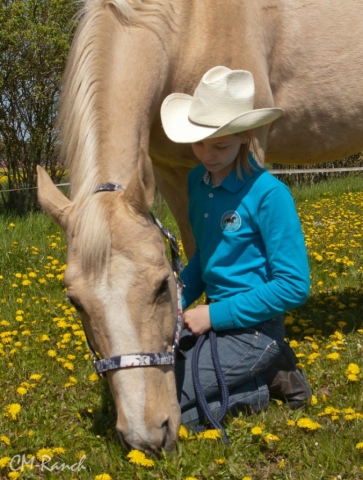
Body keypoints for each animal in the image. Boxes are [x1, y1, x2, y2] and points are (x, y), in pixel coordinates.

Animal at [37, 0, 363, 454]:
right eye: (75, 302)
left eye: (160, 286)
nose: (147, 435)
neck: (191, 25)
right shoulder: (172, 171)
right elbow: (196, 253)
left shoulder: (251, 144)